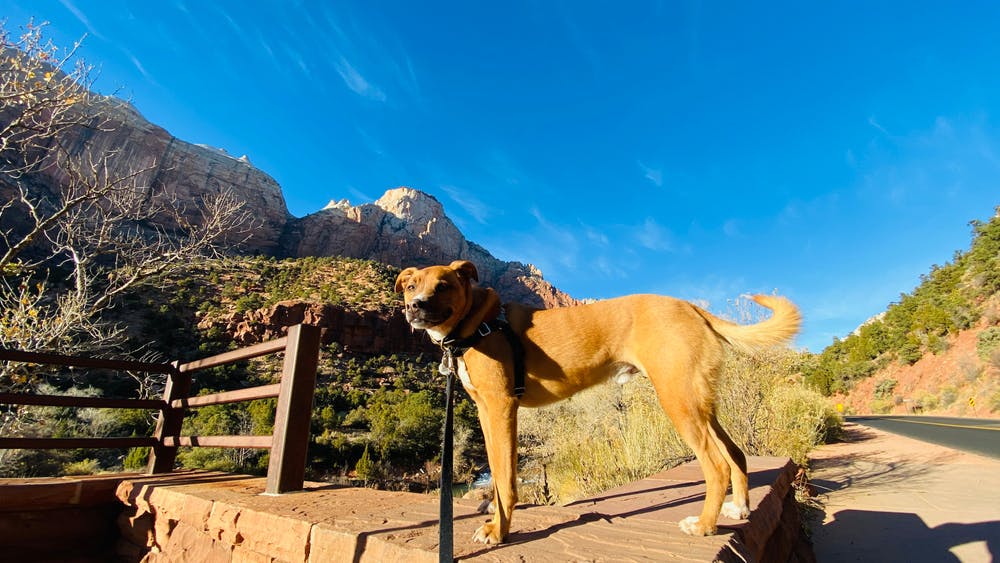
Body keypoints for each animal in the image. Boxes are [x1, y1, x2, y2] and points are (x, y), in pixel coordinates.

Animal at [394, 262, 800, 548]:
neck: (475, 323)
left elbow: (506, 480)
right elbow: (495, 472)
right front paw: (493, 514)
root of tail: (691, 307)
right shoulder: (485, 413)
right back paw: (739, 507)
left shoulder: (500, 409)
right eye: (412, 286)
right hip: (699, 402)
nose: (414, 307)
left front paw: (499, 531)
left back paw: (703, 525)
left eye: (443, 285)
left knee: (716, 465)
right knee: (735, 453)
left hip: (678, 401)